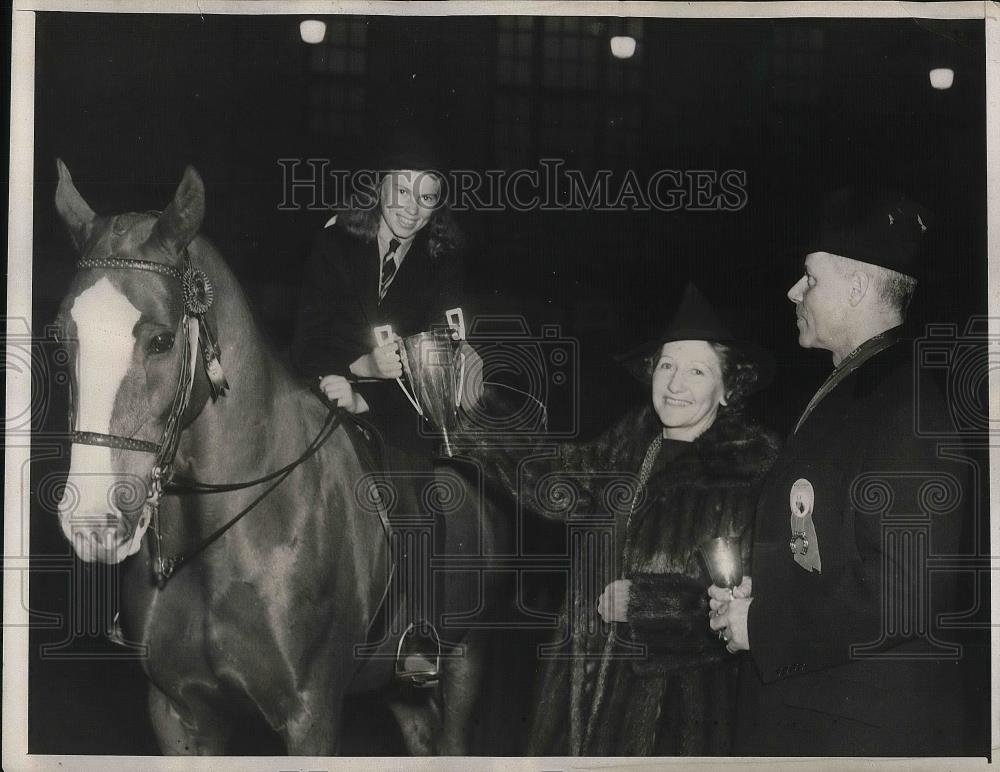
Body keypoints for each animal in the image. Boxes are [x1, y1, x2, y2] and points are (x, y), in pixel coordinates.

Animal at [50, 160, 512, 756]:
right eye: (62, 339)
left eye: (160, 341)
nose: (93, 524)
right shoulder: (180, 715)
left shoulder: (310, 718)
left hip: (466, 658)